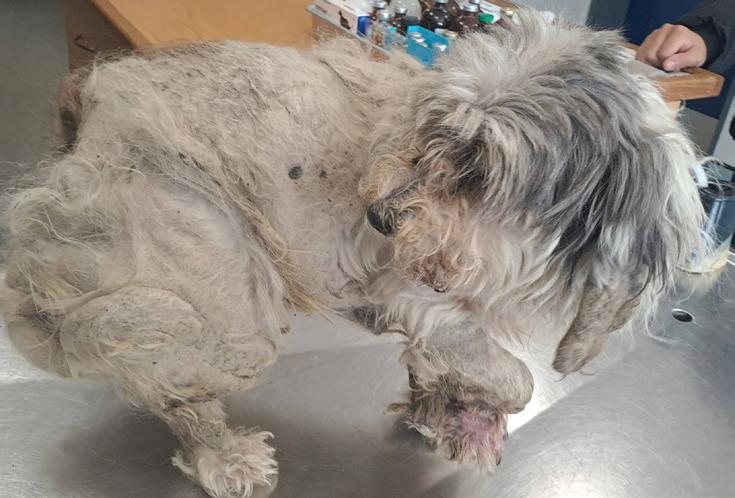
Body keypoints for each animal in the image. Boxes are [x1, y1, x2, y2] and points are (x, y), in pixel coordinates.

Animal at [0, 11, 704, 498]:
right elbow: (519, 380)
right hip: (217, 298)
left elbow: (453, 369)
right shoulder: (410, 292)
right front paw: (476, 415)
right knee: (169, 383)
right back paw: (222, 457)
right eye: (437, 132)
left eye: (477, 168)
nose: (379, 218)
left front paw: (446, 411)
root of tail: (94, 94)